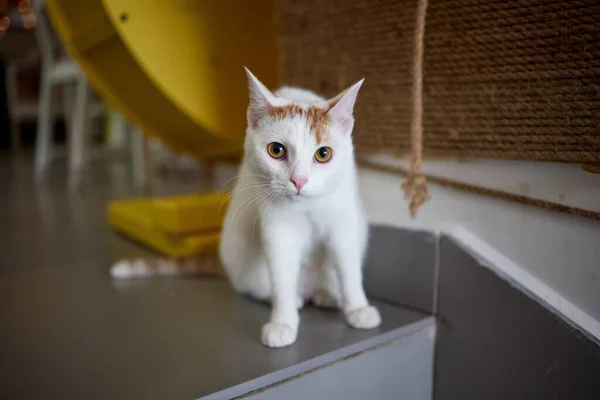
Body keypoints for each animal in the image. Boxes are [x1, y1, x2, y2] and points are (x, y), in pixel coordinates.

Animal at [110, 68, 382, 346]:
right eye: (276, 150)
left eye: (323, 154)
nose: (299, 180)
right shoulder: (277, 228)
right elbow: (282, 276)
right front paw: (283, 322)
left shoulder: (342, 223)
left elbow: (348, 268)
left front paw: (358, 308)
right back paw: (296, 298)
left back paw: (327, 293)